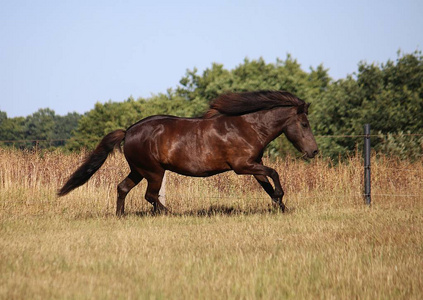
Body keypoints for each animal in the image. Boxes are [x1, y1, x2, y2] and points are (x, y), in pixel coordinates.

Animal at [58, 90, 318, 214]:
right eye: (304, 124)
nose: (314, 151)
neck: (247, 127)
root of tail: (129, 130)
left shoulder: (253, 165)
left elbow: (266, 185)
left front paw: (281, 207)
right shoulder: (242, 166)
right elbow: (274, 173)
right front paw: (281, 199)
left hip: (139, 170)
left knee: (123, 188)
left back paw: (120, 216)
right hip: (154, 171)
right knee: (150, 196)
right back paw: (170, 213)